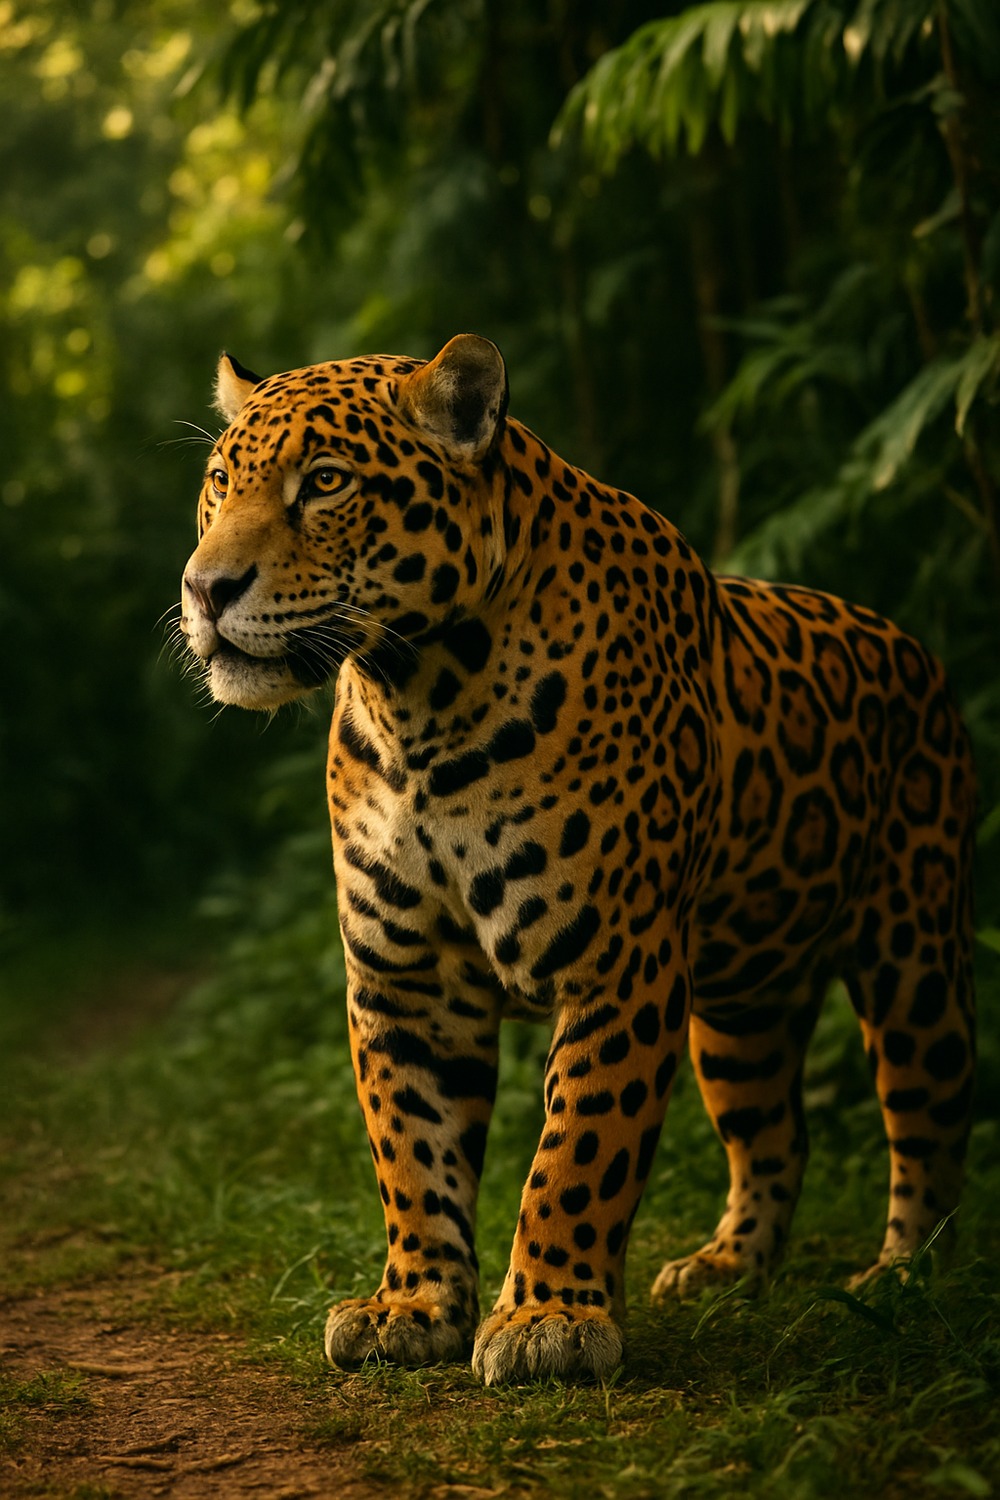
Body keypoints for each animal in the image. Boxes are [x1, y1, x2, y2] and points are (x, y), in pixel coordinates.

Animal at [180, 333, 976, 1385]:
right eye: (219, 483)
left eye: (325, 482)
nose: (205, 589)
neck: (418, 702)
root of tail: (913, 646)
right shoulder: (403, 979)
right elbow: (412, 1152)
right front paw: (413, 1305)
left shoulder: (619, 967)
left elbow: (580, 1149)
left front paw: (547, 1319)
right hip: (742, 1012)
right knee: (776, 1135)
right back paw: (728, 1268)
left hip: (914, 961)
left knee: (930, 1124)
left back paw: (905, 1278)